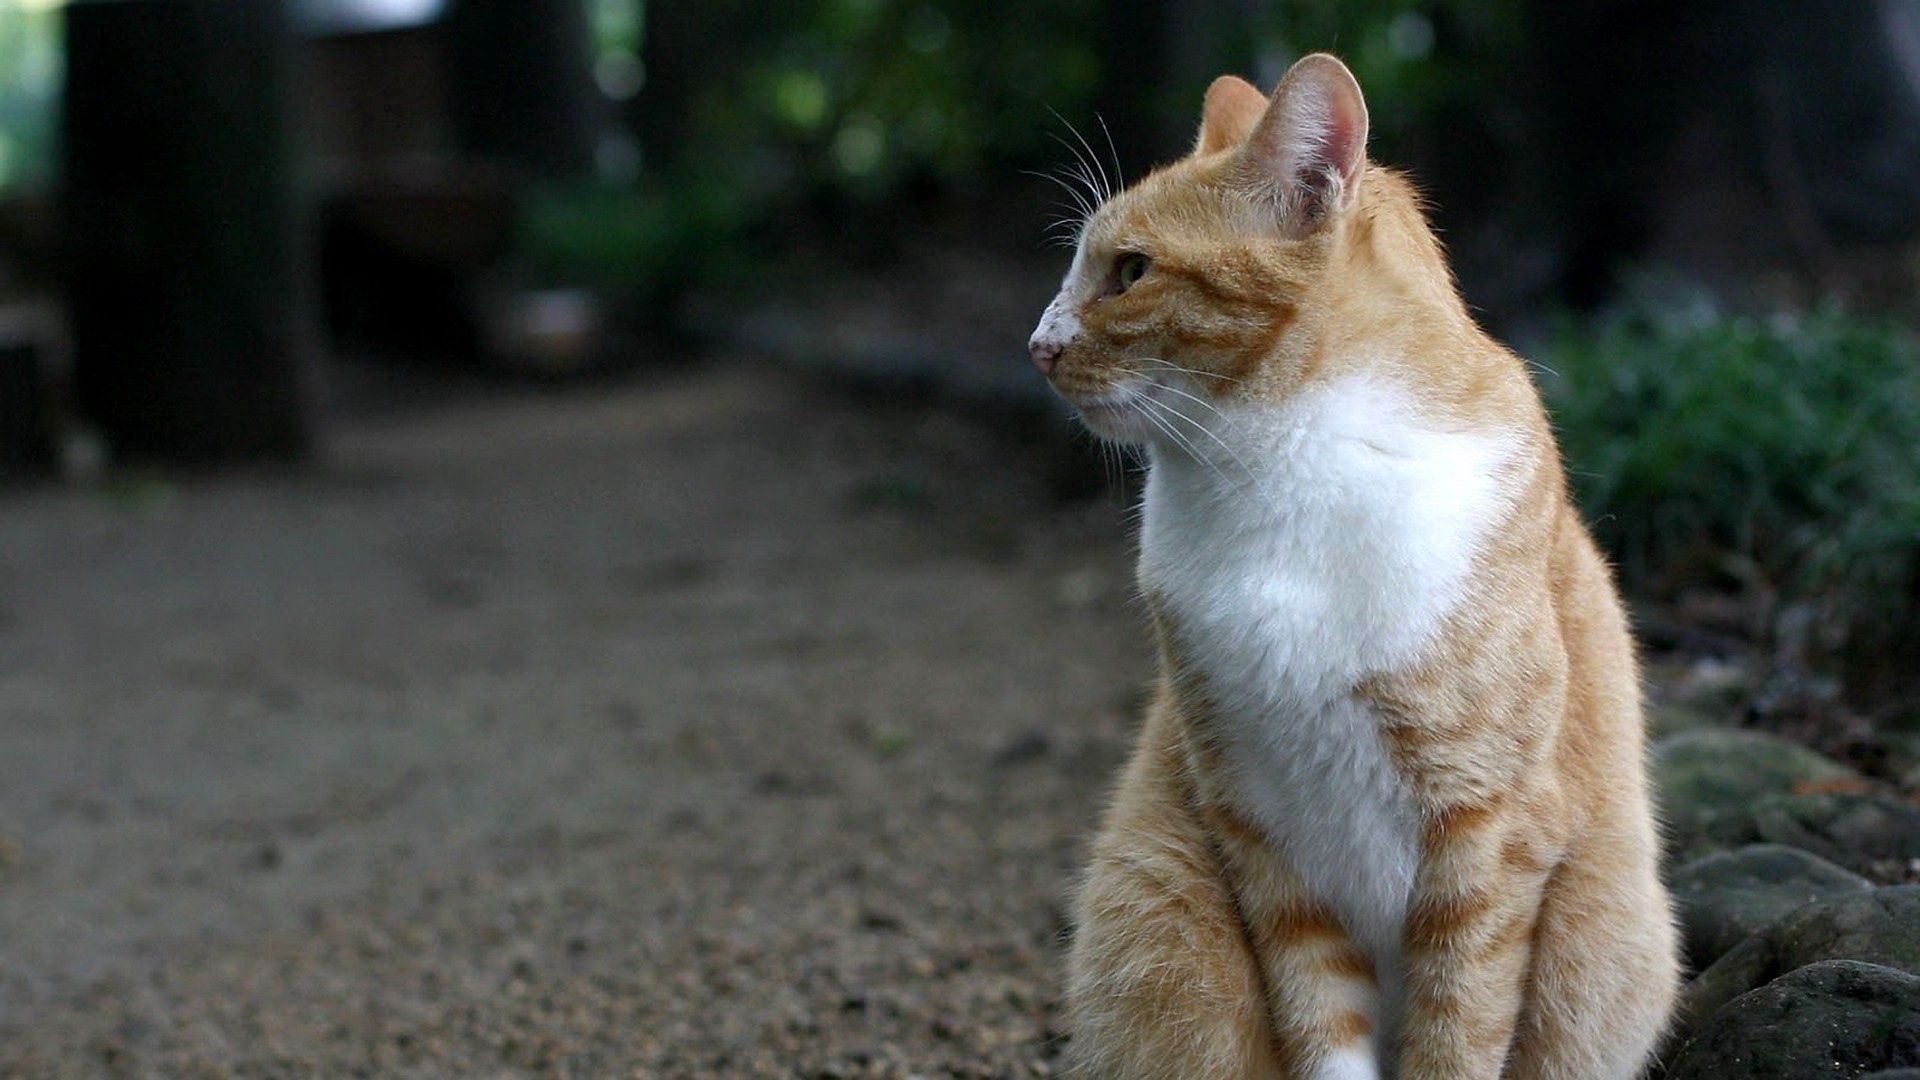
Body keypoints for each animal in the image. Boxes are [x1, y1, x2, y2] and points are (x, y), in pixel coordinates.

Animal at [1029, 56, 1674, 1076]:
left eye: (1131, 272)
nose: (1037, 347)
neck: (1282, 467)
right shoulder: (1258, 825)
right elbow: (1320, 1022)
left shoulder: (1488, 830)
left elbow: (1458, 1029)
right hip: (1154, 904)